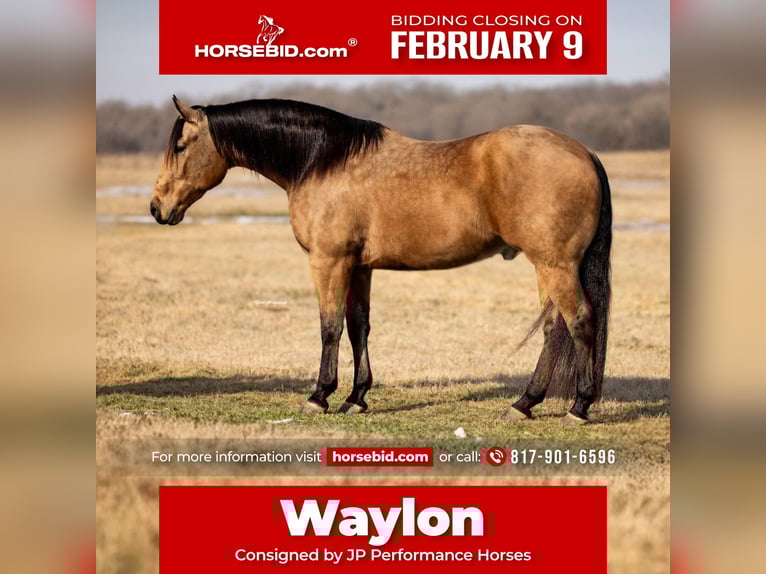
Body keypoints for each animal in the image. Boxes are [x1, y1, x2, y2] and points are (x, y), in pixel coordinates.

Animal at [151, 96, 612, 425]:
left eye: (180, 145)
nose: (157, 208)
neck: (323, 162)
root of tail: (585, 153)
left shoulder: (330, 262)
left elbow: (330, 327)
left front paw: (320, 395)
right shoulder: (360, 267)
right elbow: (358, 327)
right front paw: (356, 398)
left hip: (555, 264)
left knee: (580, 322)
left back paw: (579, 407)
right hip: (546, 266)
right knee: (553, 329)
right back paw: (524, 403)